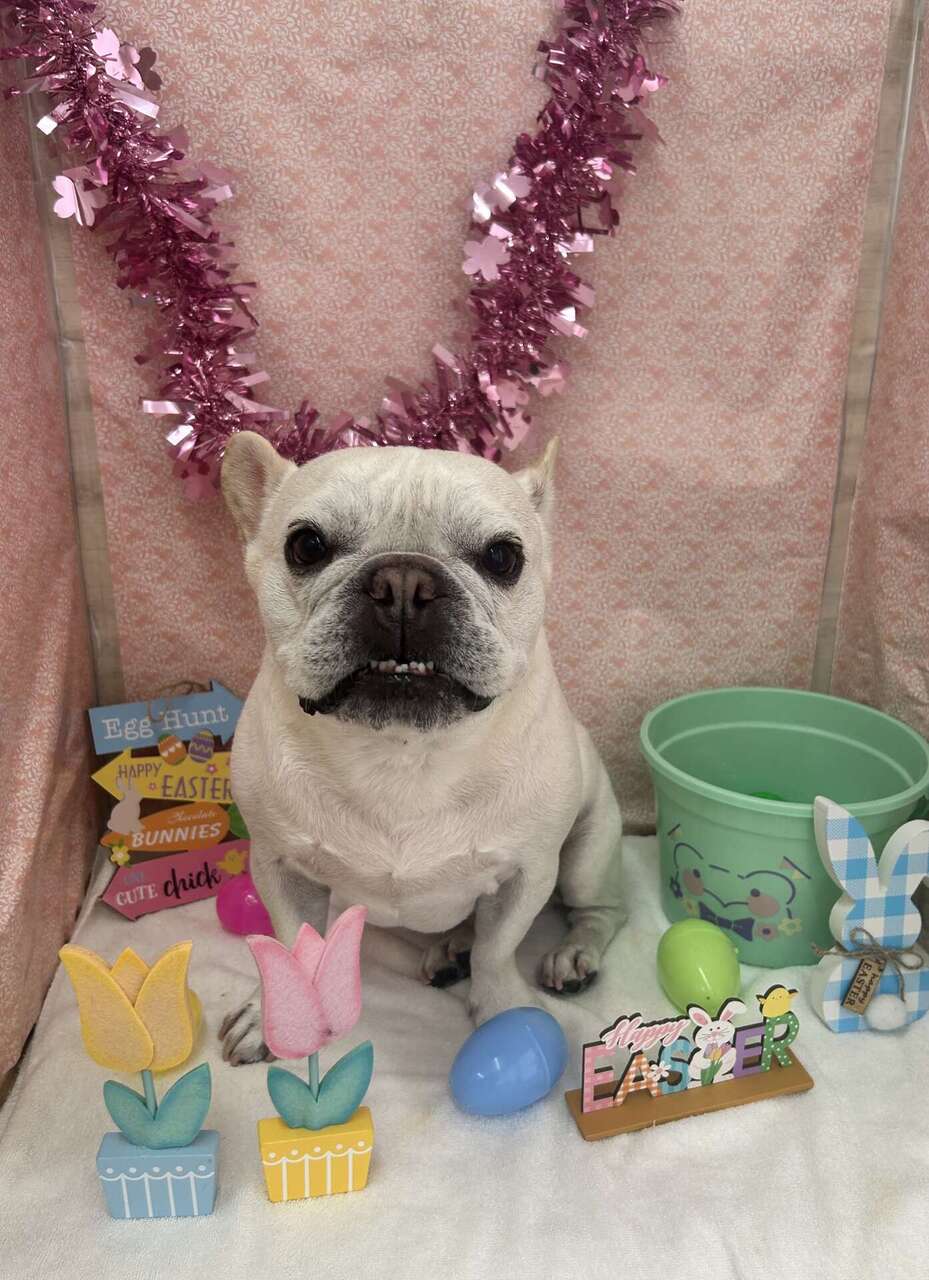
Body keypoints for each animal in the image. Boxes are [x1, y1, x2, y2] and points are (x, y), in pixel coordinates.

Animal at [218, 431, 625, 1064]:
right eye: (306, 545)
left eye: (502, 557)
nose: (404, 581)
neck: (403, 752)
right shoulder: (279, 865)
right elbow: (291, 942)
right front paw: (275, 1014)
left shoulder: (529, 870)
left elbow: (498, 948)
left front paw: (504, 1012)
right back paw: (445, 951)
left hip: (586, 855)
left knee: (601, 910)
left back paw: (571, 953)